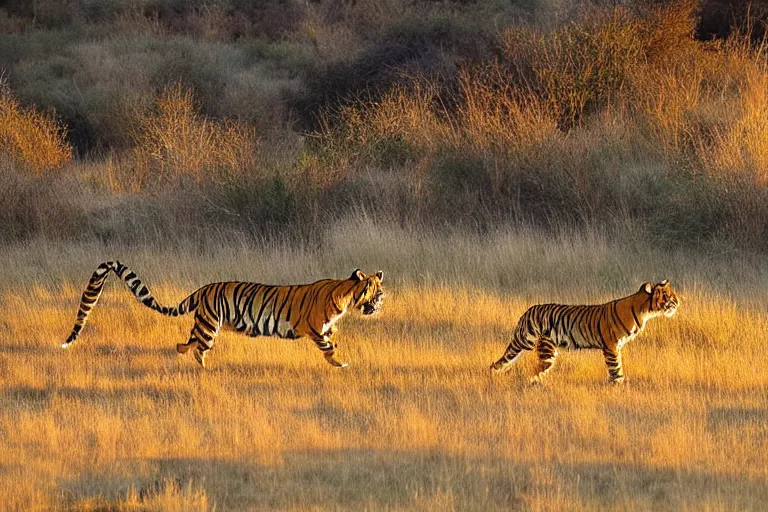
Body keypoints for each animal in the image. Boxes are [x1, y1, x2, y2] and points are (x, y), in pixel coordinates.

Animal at [61, 262, 384, 366]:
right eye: (375, 290)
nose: (382, 301)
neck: (346, 295)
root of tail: (203, 289)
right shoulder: (314, 327)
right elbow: (328, 348)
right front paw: (340, 363)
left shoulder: (326, 326)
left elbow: (333, 338)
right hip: (210, 326)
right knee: (197, 350)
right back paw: (205, 370)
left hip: (202, 324)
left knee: (184, 344)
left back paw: (183, 355)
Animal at [492, 280, 680, 384]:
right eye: (668, 294)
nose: (679, 302)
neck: (645, 311)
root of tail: (527, 311)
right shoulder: (611, 346)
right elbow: (615, 368)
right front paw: (618, 385)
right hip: (529, 343)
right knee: (508, 364)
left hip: (545, 351)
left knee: (531, 369)